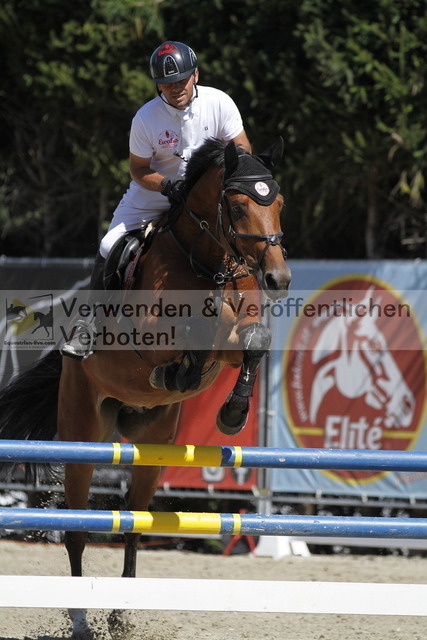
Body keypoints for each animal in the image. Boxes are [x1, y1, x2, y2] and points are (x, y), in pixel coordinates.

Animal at [0, 137, 291, 638]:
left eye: (278, 203)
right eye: (237, 206)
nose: (278, 278)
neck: (207, 265)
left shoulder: (235, 342)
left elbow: (253, 341)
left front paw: (232, 414)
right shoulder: (154, 338)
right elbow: (194, 333)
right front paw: (184, 372)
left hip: (152, 446)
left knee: (133, 523)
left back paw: (121, 612)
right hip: (83, 435)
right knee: (76, 529)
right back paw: (81, 619)